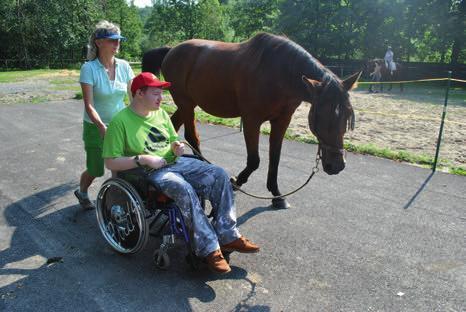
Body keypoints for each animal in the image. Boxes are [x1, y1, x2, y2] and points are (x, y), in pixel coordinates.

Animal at [142, 33, 360, 208]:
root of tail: (172, 50)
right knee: (191, 136)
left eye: (347, 116)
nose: (337, 166)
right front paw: (236, 181)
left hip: (187, 104)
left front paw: (277, 195)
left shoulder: (281, 121)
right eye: (321, 115)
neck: (279, 73)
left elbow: (275, 158)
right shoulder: (251, 120)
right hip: (186, 103)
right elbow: (255, 160)